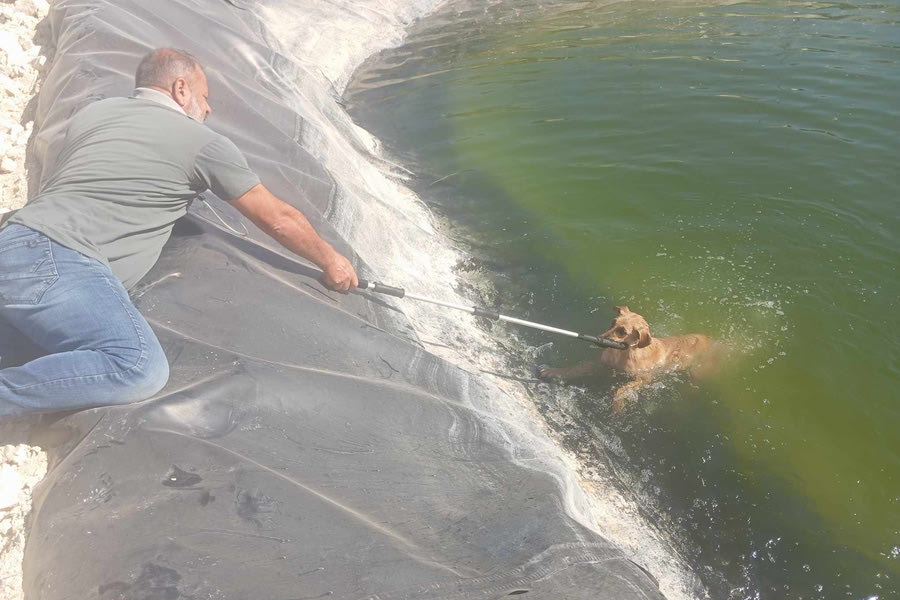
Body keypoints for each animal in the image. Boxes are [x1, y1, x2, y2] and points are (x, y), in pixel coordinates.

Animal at [536, 308, 712, 410]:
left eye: (622, 332)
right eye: (612, 323)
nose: (598, 339)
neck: (622, 354)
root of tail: (710, 339)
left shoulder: (645, 378)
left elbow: (621, 390)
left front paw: (618, 404)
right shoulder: (598, 363)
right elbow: (574, 368)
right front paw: (554, 372)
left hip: (697, 373)